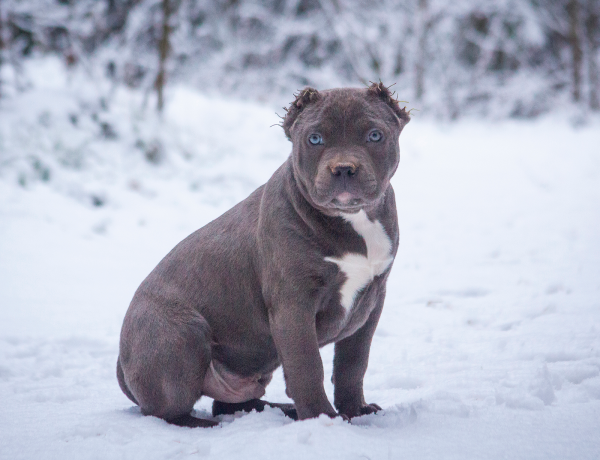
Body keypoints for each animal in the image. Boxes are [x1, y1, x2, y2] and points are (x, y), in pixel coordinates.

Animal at [117, 82, 410, 427]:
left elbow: (353, 363)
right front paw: (322, 418)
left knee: (228, 403)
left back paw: (280, 410)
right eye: (315, 139)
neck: (353, 221)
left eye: (375, 135)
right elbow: (307, 366)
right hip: (180, 334)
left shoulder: (372, 300)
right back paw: (210, 426)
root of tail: (121, 362)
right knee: (167, 411)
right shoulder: (293, 304)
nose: (343, 169)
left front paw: (355, 410)